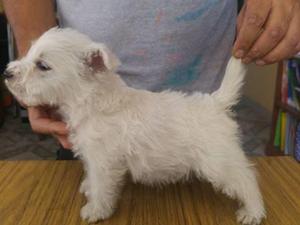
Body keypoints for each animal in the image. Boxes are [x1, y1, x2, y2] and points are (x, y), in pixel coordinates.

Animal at [2, 28, 264, 225]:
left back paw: (253, 212)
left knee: (246, 179)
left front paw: (95, 210)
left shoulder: (103, 162)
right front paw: (88, 188)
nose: (6, 73)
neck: (92, 101)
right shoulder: (92, 156)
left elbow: (102, 187)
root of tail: (215, 102)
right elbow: (91, 177)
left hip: (218, 162)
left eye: (43, 65)